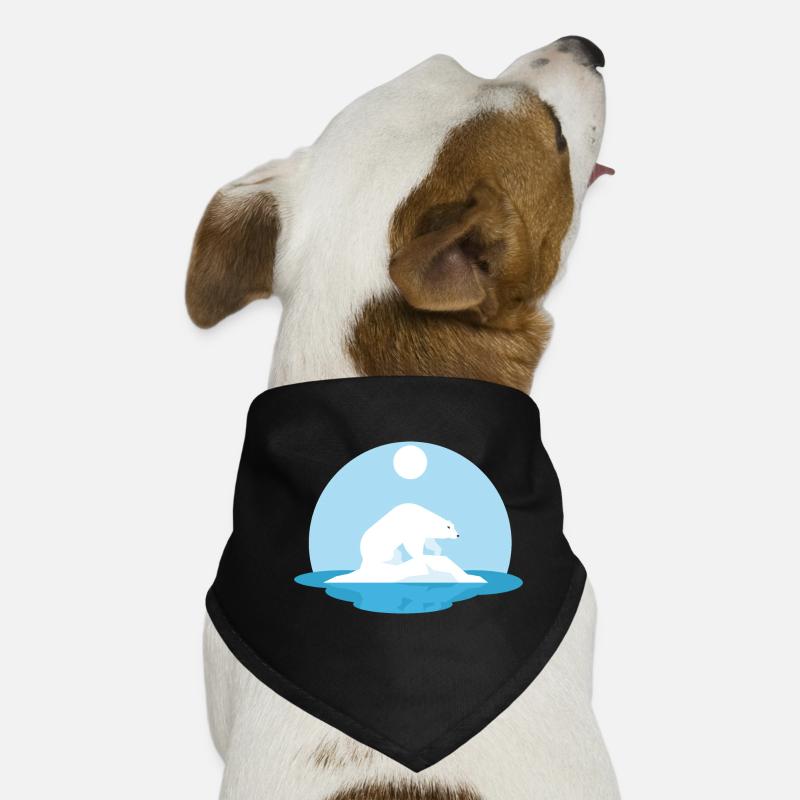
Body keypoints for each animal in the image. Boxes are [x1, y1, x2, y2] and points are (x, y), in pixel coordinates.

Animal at [326, 502, 486, 584]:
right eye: (448, 527)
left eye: (453, 526)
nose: (458, 534)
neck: (421, 516)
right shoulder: (410, 528)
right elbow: (413, 544)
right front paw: (422, 558)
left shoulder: (423, 532)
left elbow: (429, 542)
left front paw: (437, 551)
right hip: (380, 546)